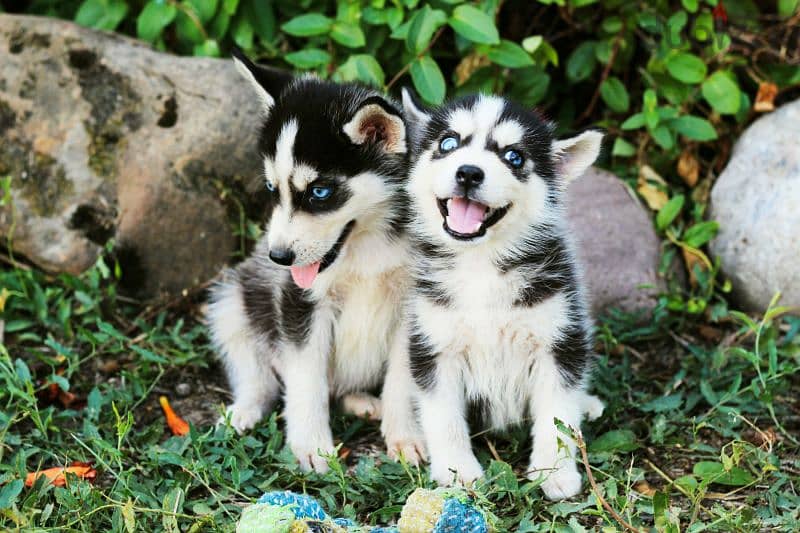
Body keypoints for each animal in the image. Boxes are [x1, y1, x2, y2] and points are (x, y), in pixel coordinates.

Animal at [205, 52, 424, 472]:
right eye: (272, 188)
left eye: (320, 192)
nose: (278, 257)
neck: (364, 245)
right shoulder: (300, 301)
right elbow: (306, 376)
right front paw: (312, 445)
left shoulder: (414, 307)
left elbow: (403, 378)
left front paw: (405, 436)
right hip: (231, 303)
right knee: (260, 375)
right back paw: (244, 409)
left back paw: (362, 401)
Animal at [404, 89, 604, 500]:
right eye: (447, 143)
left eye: (514, 157)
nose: (468, 172)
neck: (481, 265)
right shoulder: (434, 345)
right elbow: (443, 416)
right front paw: (457, 472)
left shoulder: (558, 339)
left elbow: (557, 414)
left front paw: (555, 471)